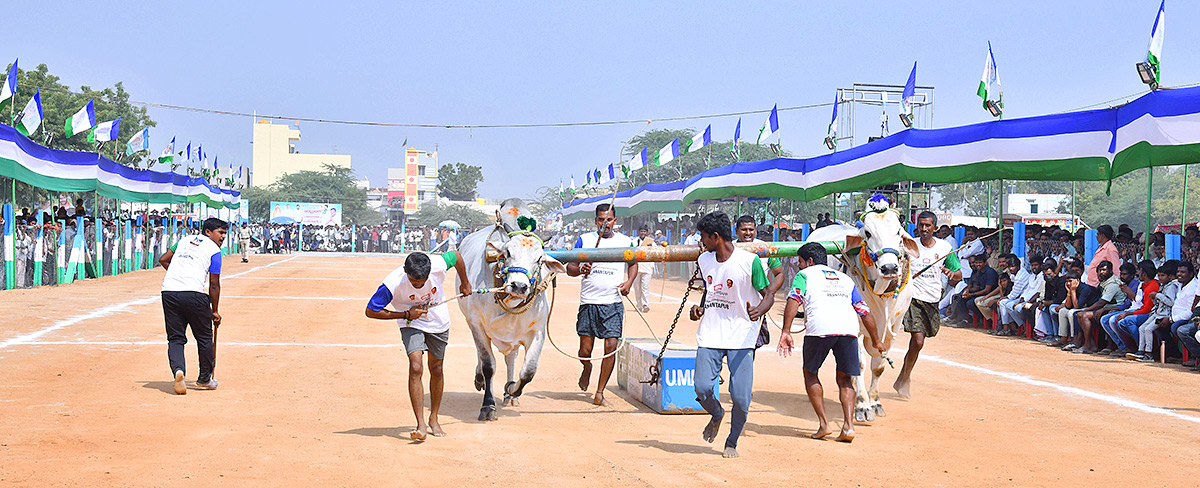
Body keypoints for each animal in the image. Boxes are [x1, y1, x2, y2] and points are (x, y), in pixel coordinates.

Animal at [456, 197, 564, 419]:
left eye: (540, 259)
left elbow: (529, 371)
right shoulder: (477, 325)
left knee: (511, 357)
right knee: (482, 356)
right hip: (470, 321)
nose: (519, 286)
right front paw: (488, 405)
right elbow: (488, 365)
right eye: (507, 252)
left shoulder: (537, 330)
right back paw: (479, 378)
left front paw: (512, 388)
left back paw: (509, 394)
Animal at [806, 208, 916, 422]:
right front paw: (862, 405)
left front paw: (875, 401)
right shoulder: (854, 328)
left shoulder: (892, 329)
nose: (889, 268)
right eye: (868, 233)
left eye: (899, 231)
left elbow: (878, 366)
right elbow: (859, 363)